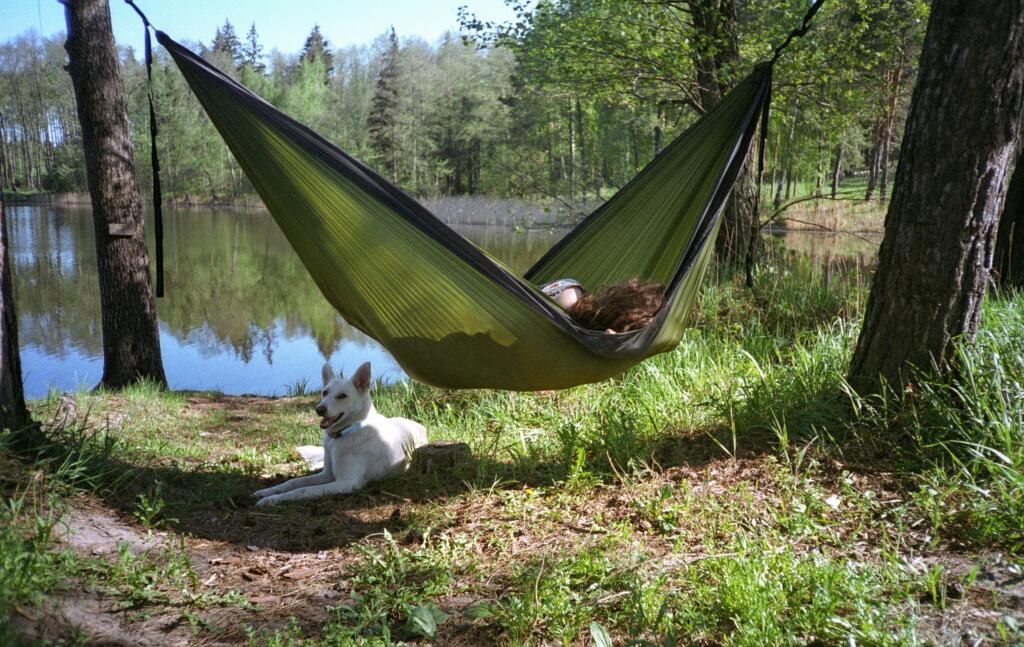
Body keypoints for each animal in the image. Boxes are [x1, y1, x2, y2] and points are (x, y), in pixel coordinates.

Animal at [253, 364, 425, 505]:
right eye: (324, 393)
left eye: (342, 396)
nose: (319, 410)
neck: (345, 433)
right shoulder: (327, 475)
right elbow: (293, 483)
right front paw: (267, 492)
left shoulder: (346, 483)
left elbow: (302, 490)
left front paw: (273, 499)